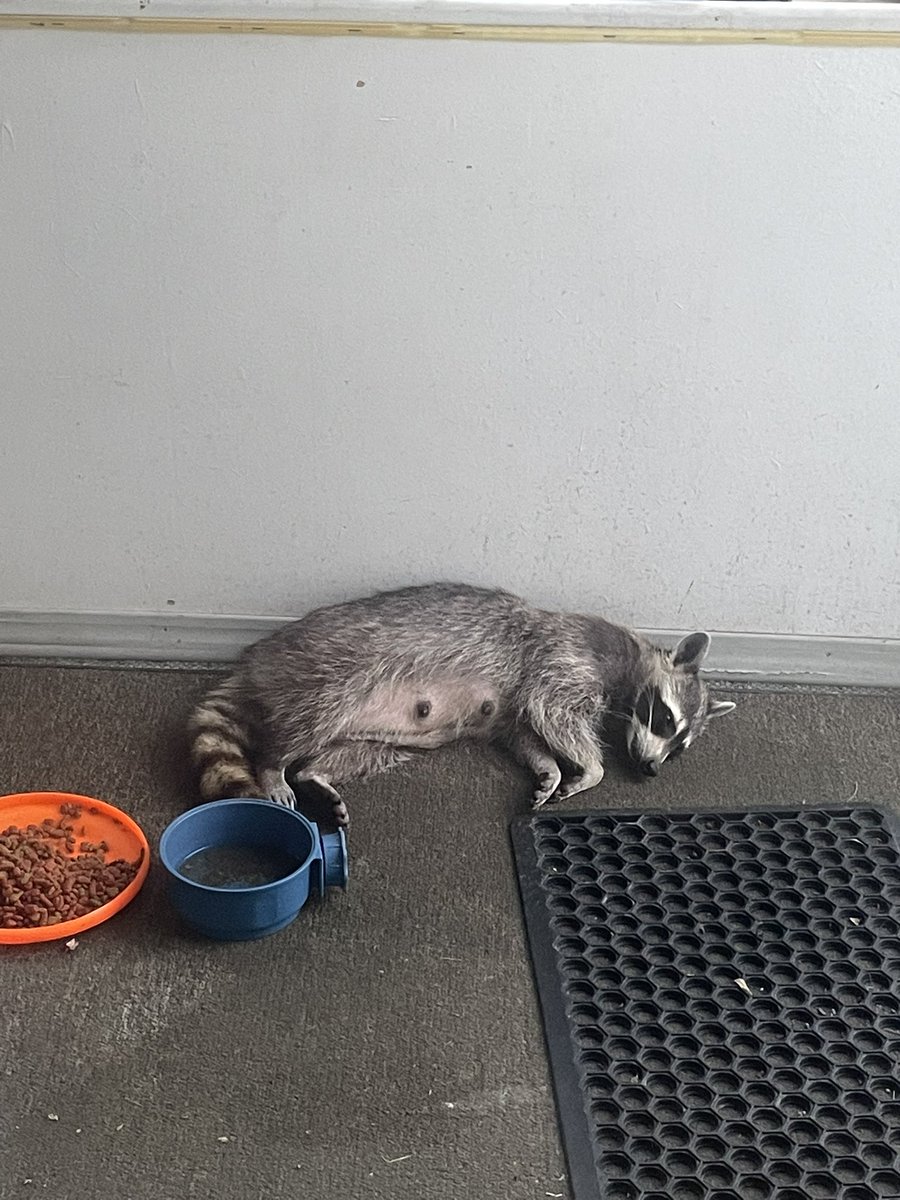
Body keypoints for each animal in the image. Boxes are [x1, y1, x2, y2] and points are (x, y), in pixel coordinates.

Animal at [188, 583, 735, 827]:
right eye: (665, 717)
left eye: (681, 747)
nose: (651, 769)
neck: (631, 661)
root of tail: (261, 658)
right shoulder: (566, 654)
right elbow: (551, 709)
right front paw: (591, 768)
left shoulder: (513, 710)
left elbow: (525, 731)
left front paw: (550, 769)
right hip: (332, 671)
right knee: (311, 719)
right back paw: (275, 765)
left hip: (376, 728)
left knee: (363, 751)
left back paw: (315, 773)